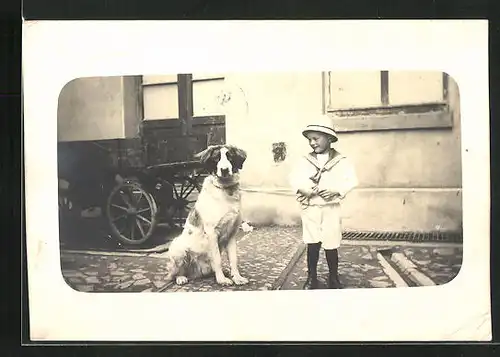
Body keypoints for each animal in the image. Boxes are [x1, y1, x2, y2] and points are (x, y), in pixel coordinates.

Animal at [162, 143, 250, 286]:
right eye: (216, 158)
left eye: (230, 157)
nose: (224, 170)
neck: (226, 190)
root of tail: (196, 273)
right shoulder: (212, 233)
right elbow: (218, 259)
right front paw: (221, 280)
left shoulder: (232, 233)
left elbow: (233, 259)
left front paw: (237, 277)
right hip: (177, 248)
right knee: (175, 273)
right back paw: (181, 277)